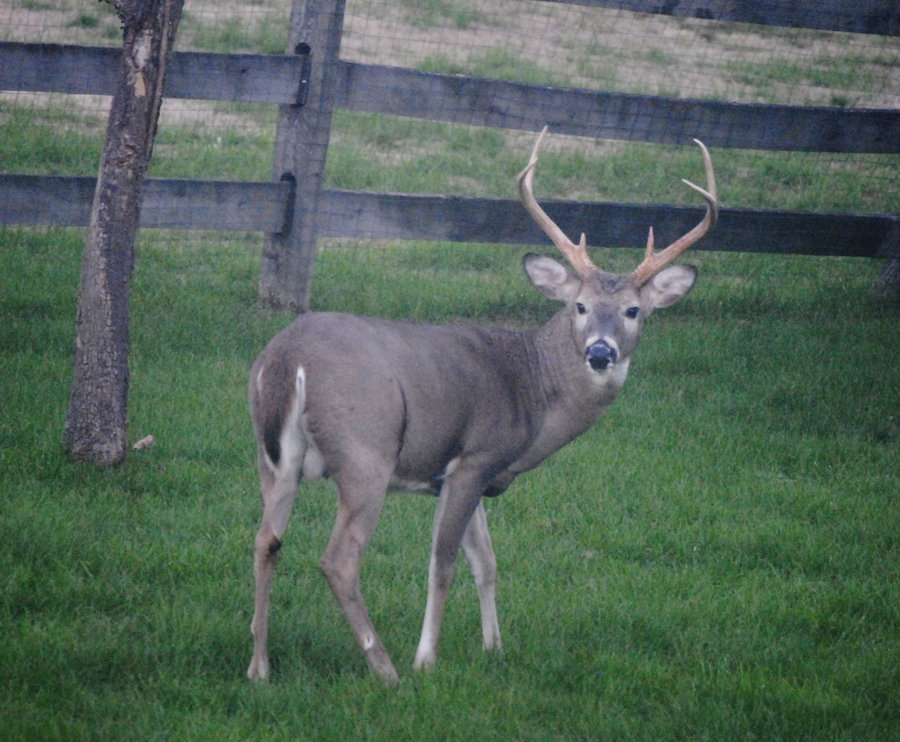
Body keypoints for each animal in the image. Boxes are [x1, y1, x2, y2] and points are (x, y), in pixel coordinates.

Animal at [246, 127, 717, 685]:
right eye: (578, 306)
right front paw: (427, 659)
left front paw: (494, 648)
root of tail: (286, 359)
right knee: (338, 560)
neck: (530, 387)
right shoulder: (473, 459)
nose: (600, 352)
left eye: (633, 311)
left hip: (274, 457)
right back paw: (387, 670)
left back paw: (259, 666)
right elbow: (444, 563)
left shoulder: (468, 473)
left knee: (266, 540)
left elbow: (486, 561)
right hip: (366, 454)